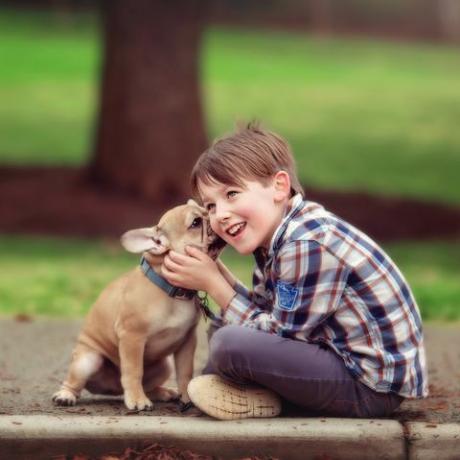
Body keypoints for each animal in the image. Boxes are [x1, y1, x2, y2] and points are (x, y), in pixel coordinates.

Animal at [52, 199, 225, 412]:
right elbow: (134, 371)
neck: (171, 288)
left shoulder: (187, 341)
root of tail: (115, 388)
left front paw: (187, 397)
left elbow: (185, 371)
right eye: (195, 223)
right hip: (87, 360)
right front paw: (137, 400)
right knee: (75, 382)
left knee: (150, 385)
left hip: (164, 365)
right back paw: (65, 395)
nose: (215, 218)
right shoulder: (132, 337)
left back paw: (164, 393)